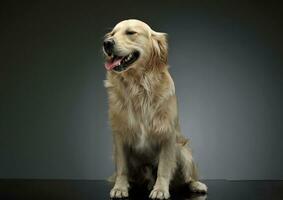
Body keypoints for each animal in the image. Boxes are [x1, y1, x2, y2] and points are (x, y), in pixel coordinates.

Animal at [103, 19, 207, 200]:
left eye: (131, 32)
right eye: (112, 34)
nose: (106, 43)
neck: (138, 86)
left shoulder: (167, 134)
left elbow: (164, 168)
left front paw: (160, 190)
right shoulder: (120, 135)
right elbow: (122, 167)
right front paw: (120, 187)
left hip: (183, 150)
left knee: (187, 177)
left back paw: (196, 185)